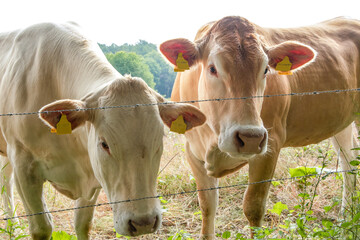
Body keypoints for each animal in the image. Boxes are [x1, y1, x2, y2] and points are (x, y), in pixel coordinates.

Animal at [0, 21, 205, 239]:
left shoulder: (93, 172)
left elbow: (83, 224)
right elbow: (42, 227)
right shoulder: (23, 164)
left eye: (160, 141)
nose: (143, 222)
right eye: (104, 144)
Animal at [161, 16, 360, 238]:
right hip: (342, 122)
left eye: (265, 70)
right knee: (349, 162)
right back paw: (346, 219)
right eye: (212, 68)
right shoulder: (192, 150)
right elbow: (207, 205)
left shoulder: (270, 145)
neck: (213, 138)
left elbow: (253, 207)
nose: (250, 137)